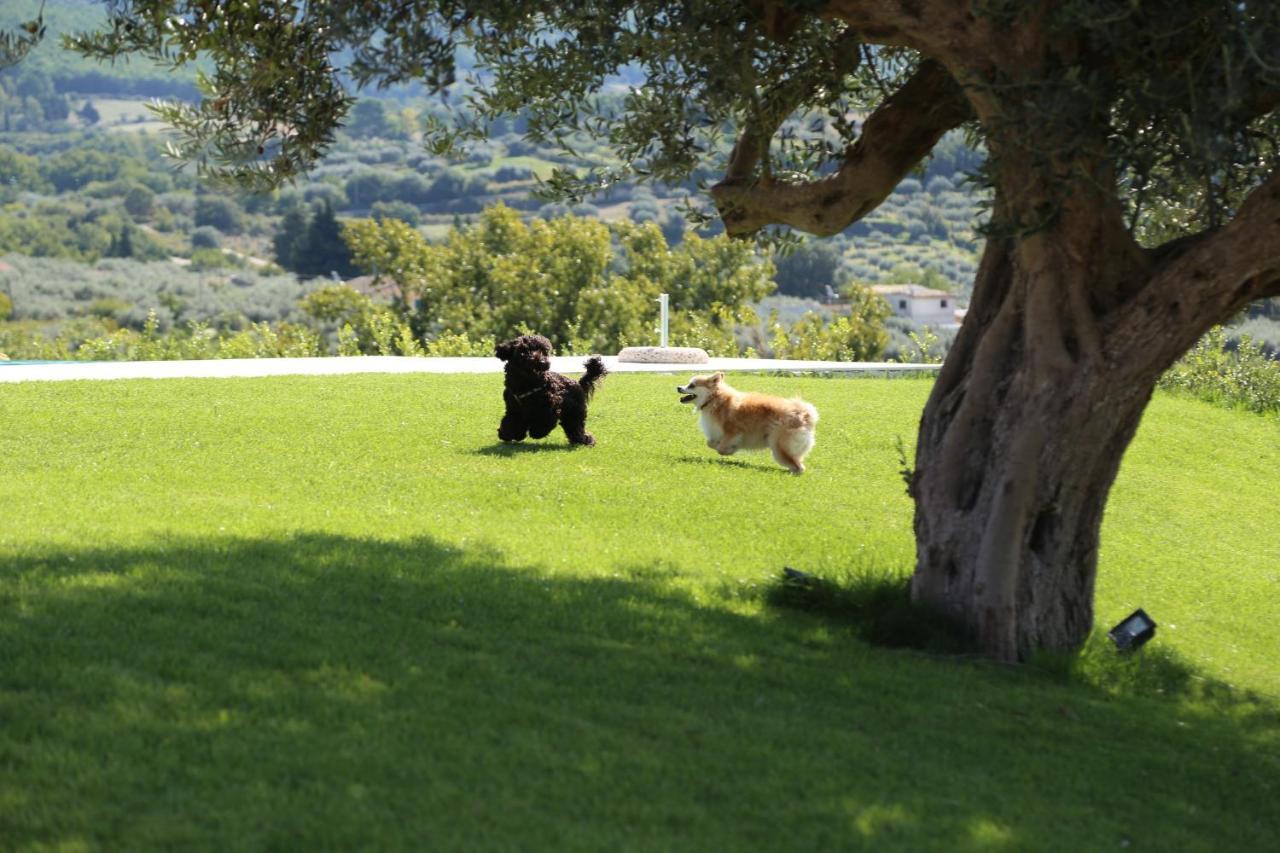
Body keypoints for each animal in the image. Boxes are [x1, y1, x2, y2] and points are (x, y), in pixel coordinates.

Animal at [675, 371, 814, 471]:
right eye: (688, 384)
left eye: (692, 385)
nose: (678, 387)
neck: (714, 399)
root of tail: (804, 414)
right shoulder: (717, 433)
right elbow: (710, 443)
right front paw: (727, 447)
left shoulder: (733, 431)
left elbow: (721, 448)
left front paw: (729, 451)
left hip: (779, 446)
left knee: (799, 466)